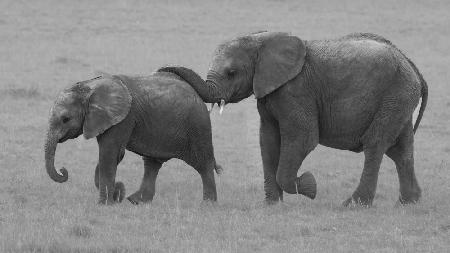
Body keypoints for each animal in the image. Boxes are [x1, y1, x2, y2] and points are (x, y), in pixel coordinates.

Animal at [43, 66, 222, 204]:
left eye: (65, 119)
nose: (63, 170)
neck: (89, 86)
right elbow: (111, 155)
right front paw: (115, 196)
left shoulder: (124, 118)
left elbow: (111, 153)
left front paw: (105, 203)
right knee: (152, 163)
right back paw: (136, 201)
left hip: (198, 125)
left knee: (203, 164)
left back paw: (208, 204)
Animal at [164, 31, 428, 207]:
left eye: (231, 73)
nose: (162, 71)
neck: (261, 39)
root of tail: (410, 63)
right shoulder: (269, 93)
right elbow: (268, 141)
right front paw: (272, 206)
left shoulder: (296, 91)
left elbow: (303, 139)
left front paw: (310, 186)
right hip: (399, 99)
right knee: (401, 150)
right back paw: (408, 203)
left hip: (395, 95)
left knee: (375, 144)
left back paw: (353, 205)